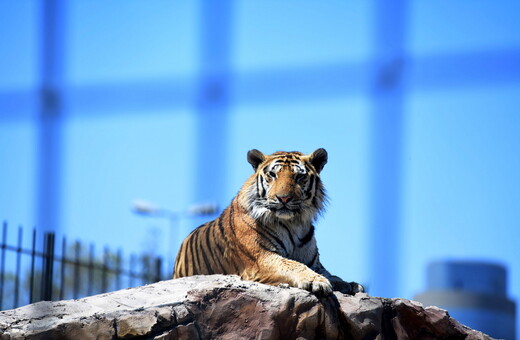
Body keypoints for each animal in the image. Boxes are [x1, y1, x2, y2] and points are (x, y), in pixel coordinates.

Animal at [173, 149, 364, 294]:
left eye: (299, 177)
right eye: (272, 175)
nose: (284, 198)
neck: (294, 224)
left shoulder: (314, 263)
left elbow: (333, 275)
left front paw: (351, 284)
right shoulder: (261, 257)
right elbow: (292, 264)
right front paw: (316, 281)